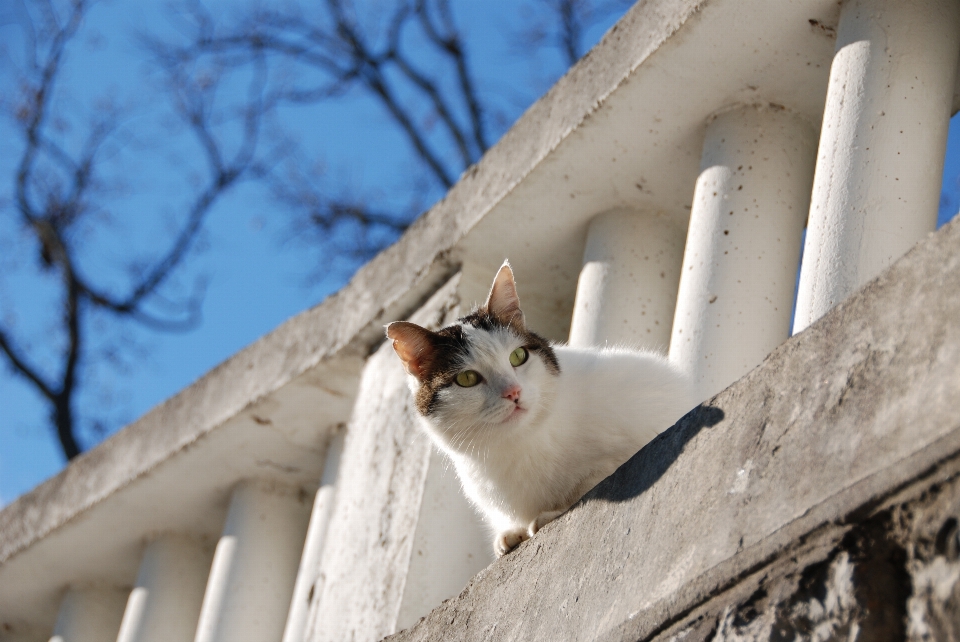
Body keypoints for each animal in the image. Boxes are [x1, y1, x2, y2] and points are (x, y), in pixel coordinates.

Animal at [386, 260, 692, 556]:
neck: (518, 445)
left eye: (518, 356)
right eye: (467, 379)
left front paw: (548, 514)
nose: (513, 392)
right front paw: (512, 532)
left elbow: (593, 478)